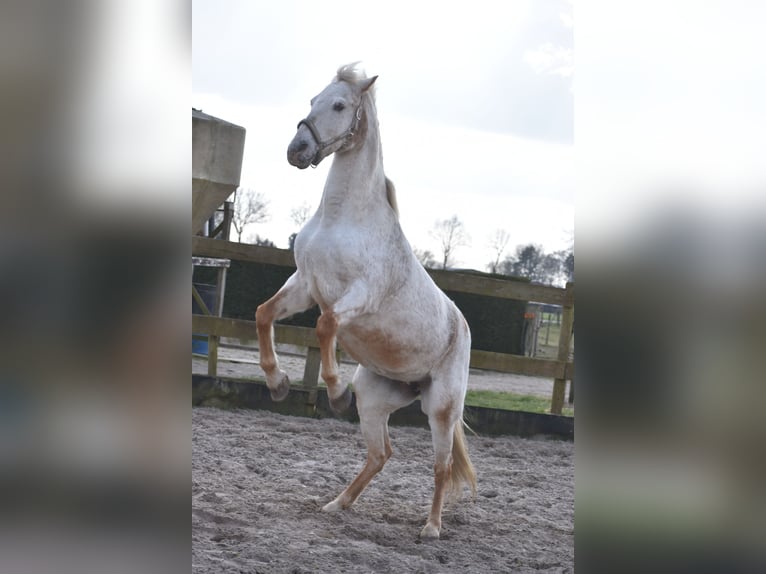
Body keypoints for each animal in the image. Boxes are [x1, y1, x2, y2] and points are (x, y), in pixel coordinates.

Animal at [255, 65, 476, 544]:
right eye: (313, 98)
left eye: (340, 105)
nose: (297, 150)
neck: (343, 218)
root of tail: (462, 325)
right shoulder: (304, 285)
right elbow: (264, 314)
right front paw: (278, 383)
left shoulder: (357, 296)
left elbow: (325, 325)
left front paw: (333, 390)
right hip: (374, 398)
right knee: (381, 454)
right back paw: (336, 503)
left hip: (441, 409)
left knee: (441, 465)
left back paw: (431, 528)